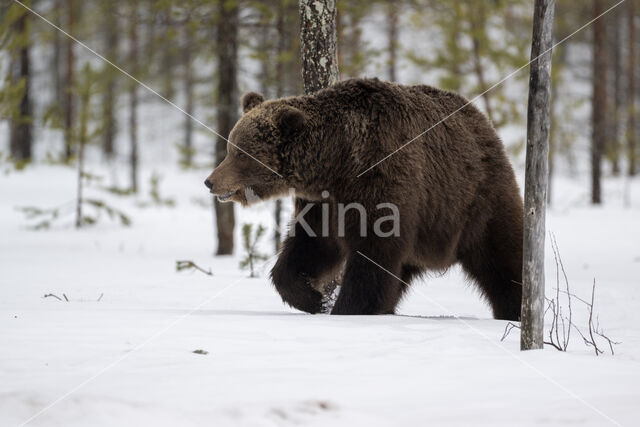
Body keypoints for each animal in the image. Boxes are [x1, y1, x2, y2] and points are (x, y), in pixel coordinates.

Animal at [206, 77, 524, 320]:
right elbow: (309, 247)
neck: (337, 163)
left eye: (240, 153)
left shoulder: (380, 183)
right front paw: (314, 298)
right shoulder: (324, 203)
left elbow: (372, 257)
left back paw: (515, 309)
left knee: (504, 259)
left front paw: (346, 309)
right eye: (230, 146)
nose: (210, 181)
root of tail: (482, 120)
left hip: (475, 202)